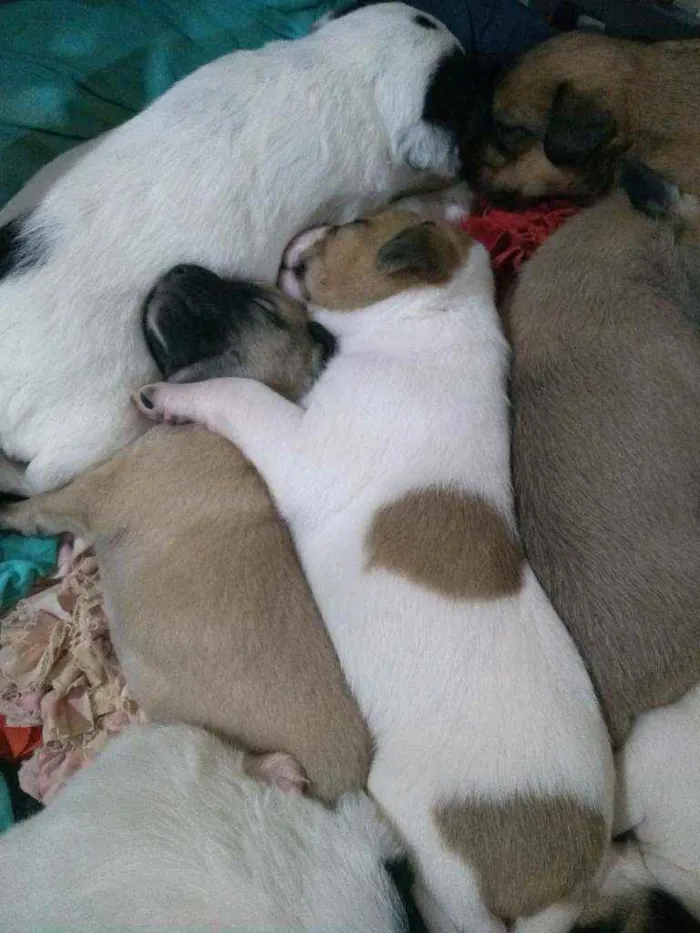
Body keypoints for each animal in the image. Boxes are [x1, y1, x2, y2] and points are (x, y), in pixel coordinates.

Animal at [0, 266, 372, 804]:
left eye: (261, 306)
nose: (182, 269)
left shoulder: (86, 493)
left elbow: (33, 502)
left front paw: (10, 505)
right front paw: (71, 553)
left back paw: (277, 771)